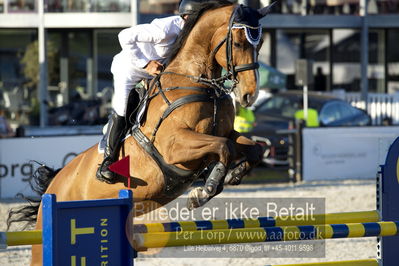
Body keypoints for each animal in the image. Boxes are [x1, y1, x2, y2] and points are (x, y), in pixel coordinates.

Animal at [8, 1, 276, 264]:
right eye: (239, 43)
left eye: (260, 44)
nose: (249, 95)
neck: (197, 81)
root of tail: (52, 186)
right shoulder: (176, 146)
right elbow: (224, 148)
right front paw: (204, 191)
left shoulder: (225, 132)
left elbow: (252, 149)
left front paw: (234, 175)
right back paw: (106, 169)